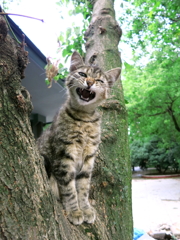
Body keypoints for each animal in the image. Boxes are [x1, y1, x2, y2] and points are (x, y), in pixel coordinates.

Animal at [37, 50, 120, 225]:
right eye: (82, 74)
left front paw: (85, 208)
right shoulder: (64, 156)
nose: (89, 82)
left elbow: (83, 188)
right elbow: (69, 189)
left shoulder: (88, 159)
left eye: (99, 80)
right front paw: (74, 211)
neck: (84, 118)